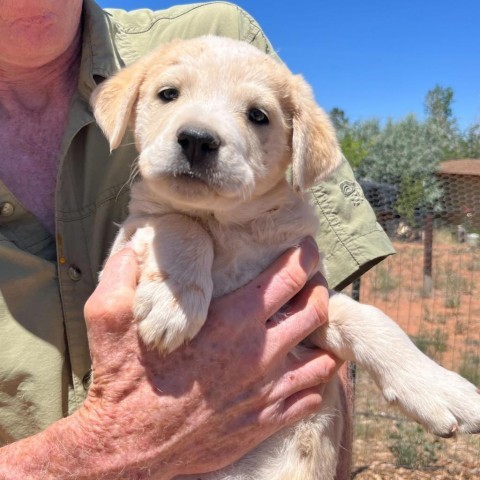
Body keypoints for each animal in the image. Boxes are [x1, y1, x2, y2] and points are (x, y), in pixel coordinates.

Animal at [92, 35, 480, 478]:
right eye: (168, 94)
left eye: (258, 115)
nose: (197, 139)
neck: (228, 225)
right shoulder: (128, 236)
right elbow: (180, 222)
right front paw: (173, 303)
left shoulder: (306, 303)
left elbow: (371, 319)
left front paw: (441, 389)